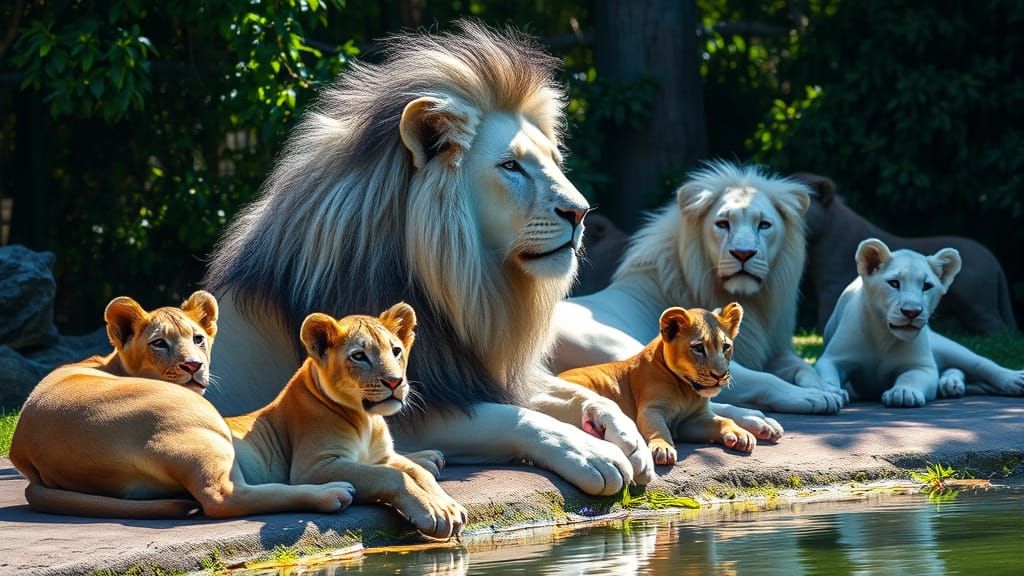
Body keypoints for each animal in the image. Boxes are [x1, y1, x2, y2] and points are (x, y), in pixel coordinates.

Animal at [202, 21, 653, 496]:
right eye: (511, 166)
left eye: (553, 161)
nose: (580, 212)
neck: (468, 291)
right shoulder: (400, 407)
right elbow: (513, 418)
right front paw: (590, 452)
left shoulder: (468, 373)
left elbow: (576, 393)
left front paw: (625, 434)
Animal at [552, 161, 847, 418]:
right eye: (723, 223)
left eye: (764, 225)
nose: (743, 253)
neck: (747, 301)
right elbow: (763, 378)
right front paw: (815, 395)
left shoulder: (776, 350)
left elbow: (803, 366)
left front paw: (827, 386)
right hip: (616, 345)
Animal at [559, 303, 758, 467]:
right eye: (698, 348)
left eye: (726, 347)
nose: (720, 375)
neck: (687, 391)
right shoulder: (651, 409)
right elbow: (657, 428)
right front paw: (663, 448)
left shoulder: (692, 420)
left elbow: (722, 420)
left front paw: (740, 435)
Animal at [816, 238, 1024, 407]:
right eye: (894, 283)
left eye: (926, 286)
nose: (911, 312)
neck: (882, 335)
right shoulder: (833, 358)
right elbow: (826, 374)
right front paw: (831, 391)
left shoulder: (921, 365)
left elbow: (911, 377)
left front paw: (903, 392)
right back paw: (950, 385)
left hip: (944, 346)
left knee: (979, 363)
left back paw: (1013, 380)